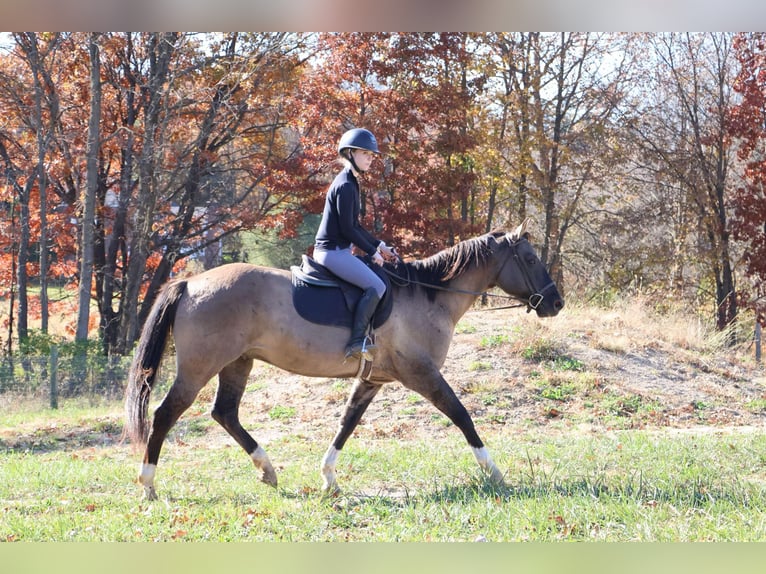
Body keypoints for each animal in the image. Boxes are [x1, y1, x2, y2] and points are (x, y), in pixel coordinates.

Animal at [124, 220, 564, 500]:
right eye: (529, 258)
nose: (556, 303)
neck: (428, 296)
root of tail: (189, 282)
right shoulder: (422, 374)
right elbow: (462, 415)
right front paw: (495, 473)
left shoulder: (373, 380)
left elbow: (346, 424)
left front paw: (329, 479)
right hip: (200, 367)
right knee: (166, 414)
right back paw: (148, 484)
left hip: (238, 362)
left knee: (225, 413)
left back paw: (267, 470)